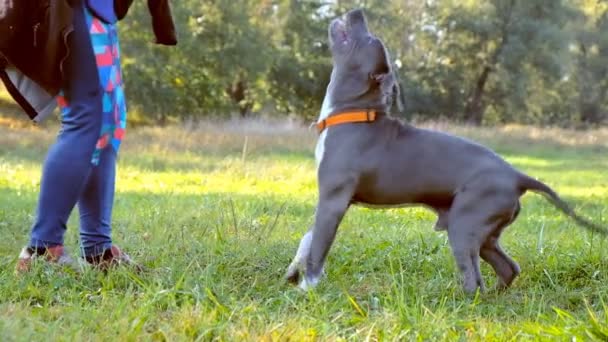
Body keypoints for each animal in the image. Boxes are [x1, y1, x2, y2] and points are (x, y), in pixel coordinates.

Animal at [284, 8, 604, 294]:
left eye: (369, 38)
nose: (358, 11)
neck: (354, 112)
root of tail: (517, 175)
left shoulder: (333, 201)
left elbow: (318, 248)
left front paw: (307, 288)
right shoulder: (334, 201)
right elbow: (308, 238)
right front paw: (292, 272)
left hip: (464, 227)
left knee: (474, 280)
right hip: (485, 234)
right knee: (508, 268)